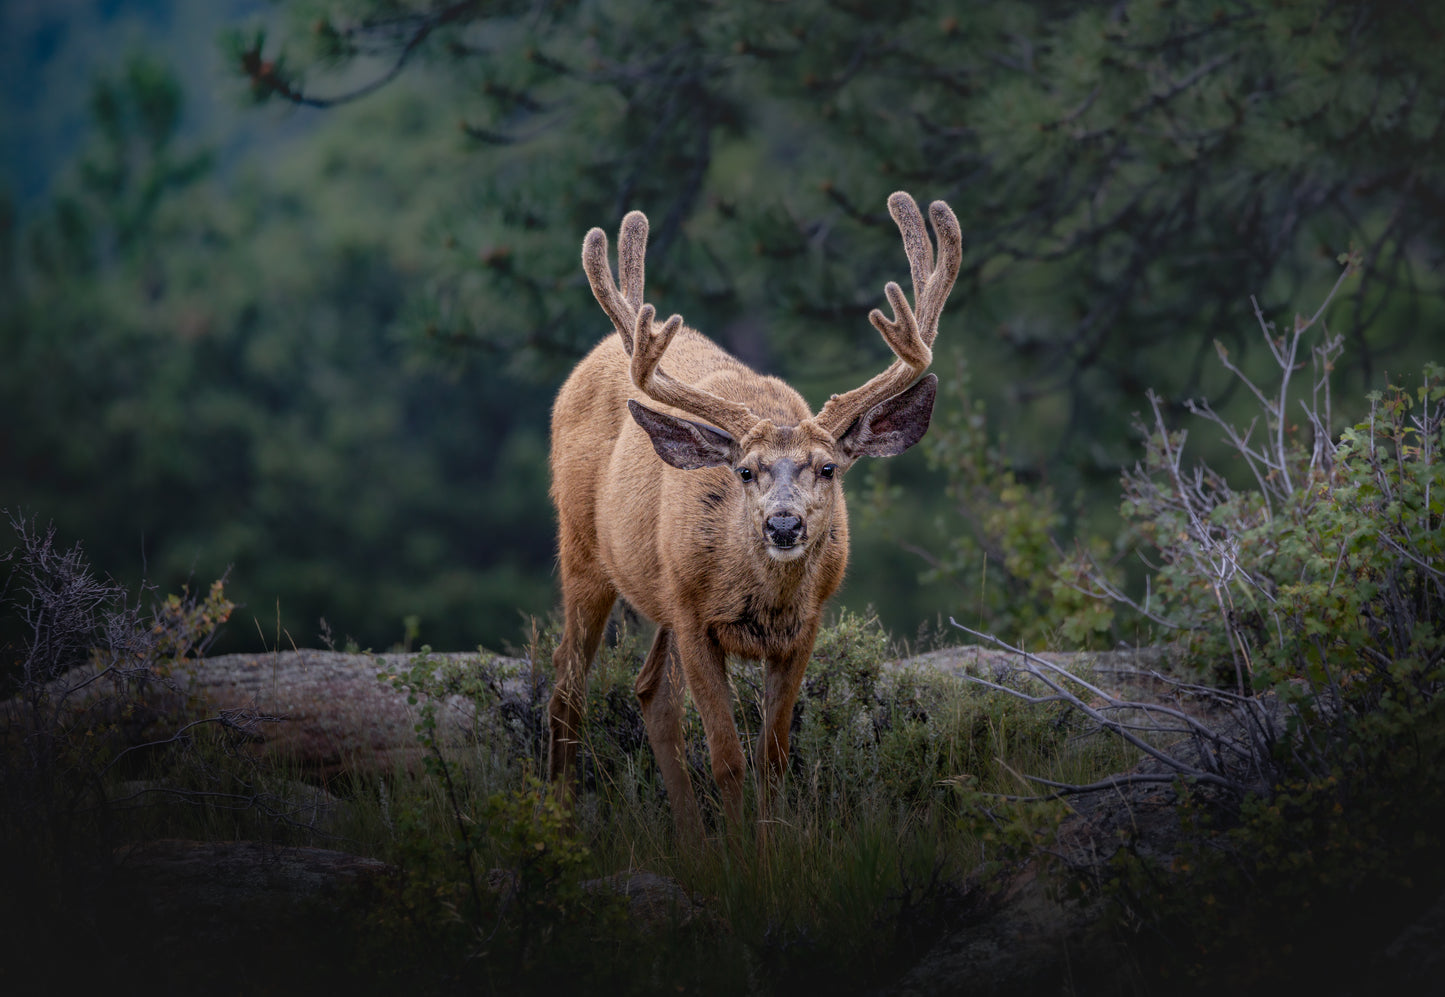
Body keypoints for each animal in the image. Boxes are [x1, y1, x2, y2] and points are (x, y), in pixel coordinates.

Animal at [547, 191, 962, 842]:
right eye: (744, 471)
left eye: (828, 468)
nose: (784, 526)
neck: (760, 599)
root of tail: (585, 364)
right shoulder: (694, 618)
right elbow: (727, 758)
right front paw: (742, 858)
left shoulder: (803, 627)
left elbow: (773, 757)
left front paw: (771, 850)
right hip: (583, 547)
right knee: (566, 680)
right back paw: (556, 823)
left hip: (655, 589)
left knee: (649, 691)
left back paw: (692, 844)